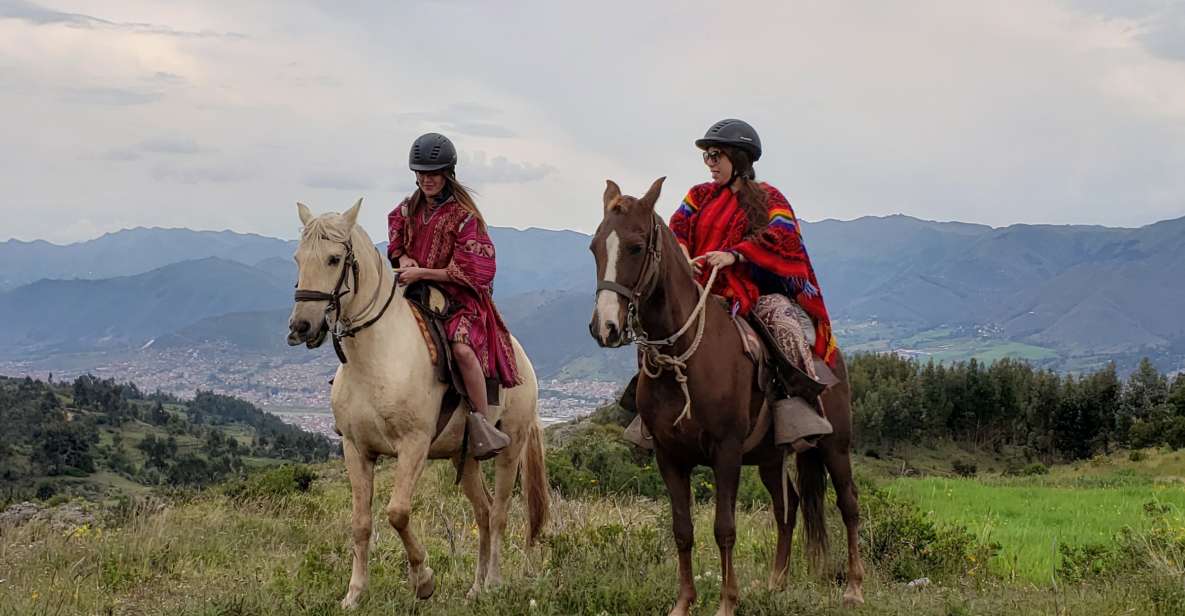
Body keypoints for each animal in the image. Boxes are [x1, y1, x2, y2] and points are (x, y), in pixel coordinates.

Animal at [286, 201, 549, 606]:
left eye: (334, 259)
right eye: (298, 258)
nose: (301, 327)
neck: (376, 357)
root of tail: (524, 362)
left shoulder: (413, 445)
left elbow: (397, 513)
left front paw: (423, 580)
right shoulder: (356, 449)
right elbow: (361, 523)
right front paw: (354, 594)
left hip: (511, 447)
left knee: (500, 514)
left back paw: (493, 582)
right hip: (465, 457)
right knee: (484, 511)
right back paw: (475, 589)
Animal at [587, 177, 867, 616]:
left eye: (634, 246)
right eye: (595, 247)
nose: (606, 327)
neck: (685, 356)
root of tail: (830, 356)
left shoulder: (727, 451)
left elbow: (724, 528)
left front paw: (726, 603)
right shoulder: (669, 456)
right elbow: (682, 530)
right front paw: (683, 603)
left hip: (835, 445)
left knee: (848, 505)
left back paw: (854, 587)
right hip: (771, 457)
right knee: (788, 508)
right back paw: (776, 582)